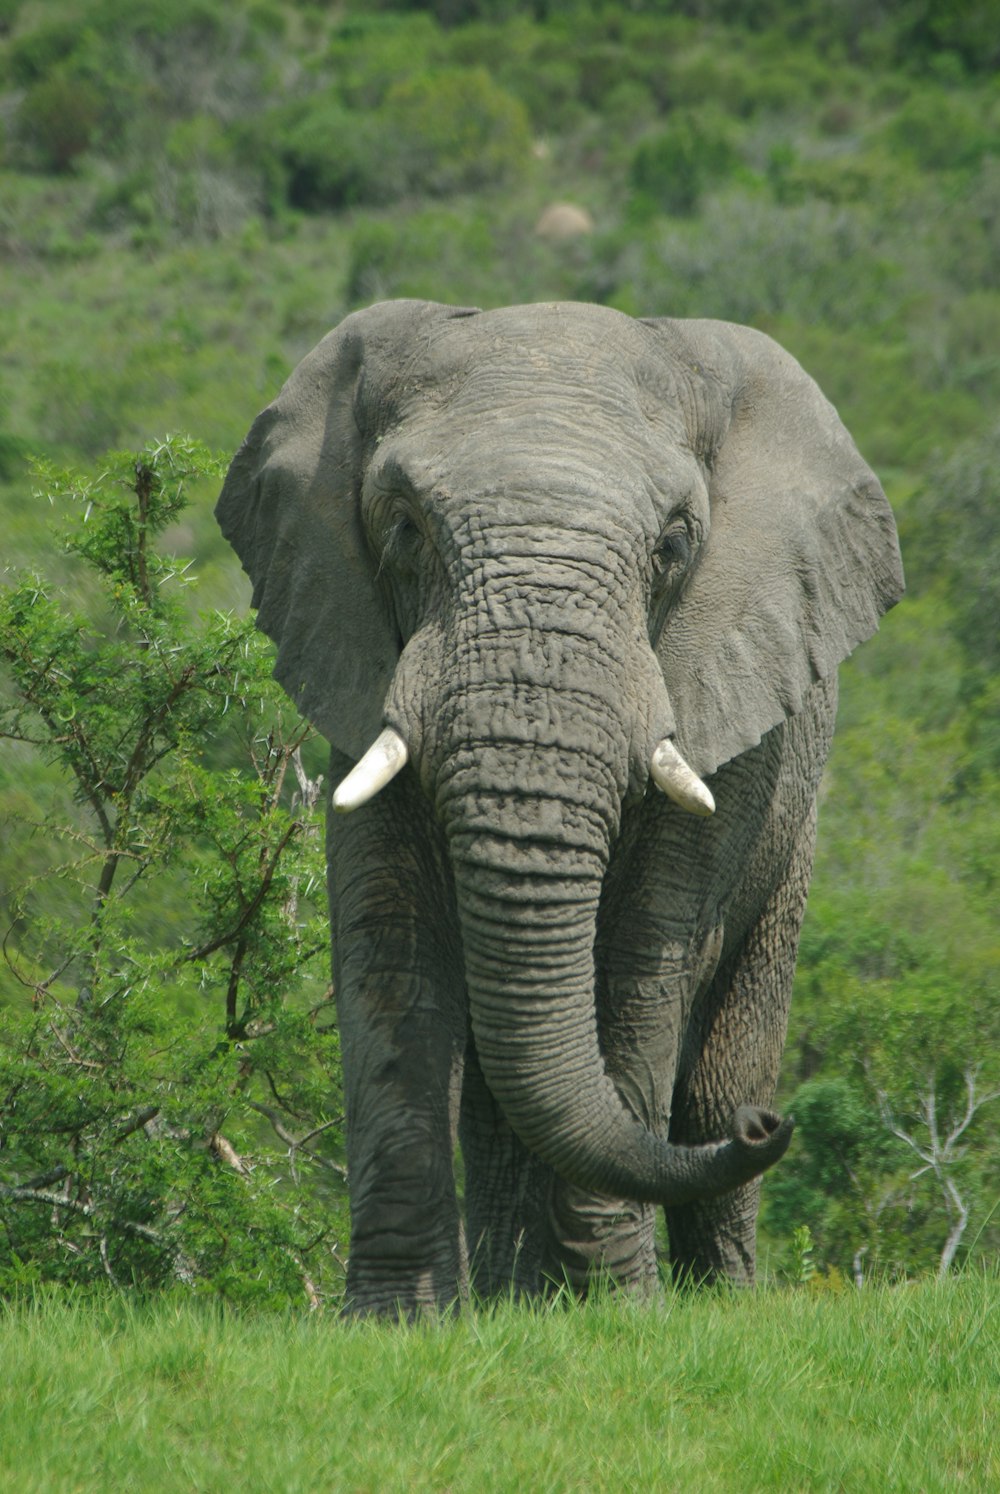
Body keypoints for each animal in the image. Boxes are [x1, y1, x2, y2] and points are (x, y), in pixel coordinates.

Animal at [215, 297, 902, 1314]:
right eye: (404, 528)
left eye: (674, 546)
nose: (768, 1127)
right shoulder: (358, 658)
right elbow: (391, 950)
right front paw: (400, 1321)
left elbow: (640, 961)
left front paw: (617, 1309)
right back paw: (518, 1298)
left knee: (716, 1069)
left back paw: (715, 1294)